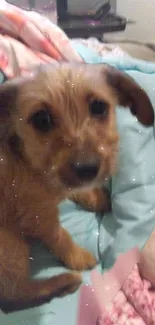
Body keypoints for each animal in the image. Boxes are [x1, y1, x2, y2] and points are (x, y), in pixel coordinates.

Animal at [0, 61, 153, 312]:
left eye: (98, 107)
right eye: (41, 119)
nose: (87, 168)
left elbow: (76, 190)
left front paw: (96, 198)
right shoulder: (38, 216)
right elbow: (60, 237)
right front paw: (79, 257)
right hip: (10, 243)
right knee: (13, 295)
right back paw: (63, 282)